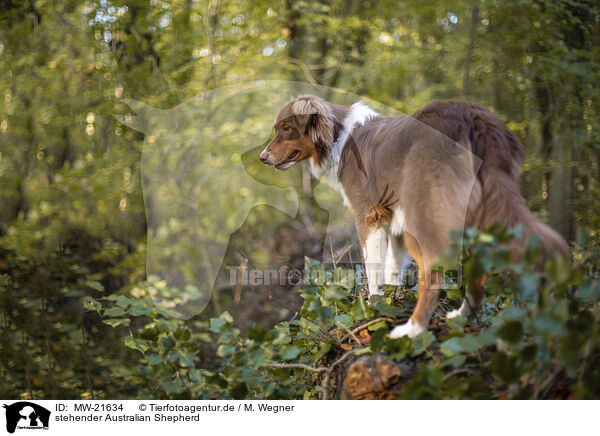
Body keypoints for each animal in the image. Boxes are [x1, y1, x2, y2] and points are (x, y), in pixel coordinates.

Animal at [258, 96, 568, 338]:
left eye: (286, 129)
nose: (262, 157)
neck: (338, 137)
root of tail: (472, 117)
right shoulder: (394, 216)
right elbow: (394, 265)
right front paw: (391, 298)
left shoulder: (368, 214)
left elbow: (374, 266)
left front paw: (374, 303)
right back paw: (463, 316)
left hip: (425, 212)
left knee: (433, 269)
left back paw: (413, 328)